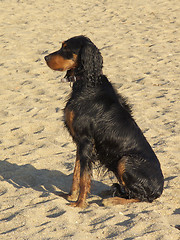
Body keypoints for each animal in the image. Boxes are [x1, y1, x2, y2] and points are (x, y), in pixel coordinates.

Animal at [44, 35, 164, 208]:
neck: (88, 83)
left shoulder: (86, 141)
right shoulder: (80, 143)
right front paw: (70, 196)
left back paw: (113, 200)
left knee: (142, 197)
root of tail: (160, 189)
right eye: (62, 46)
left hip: (124, 161)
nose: (45, 58)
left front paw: (80, 203)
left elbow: (84, 177)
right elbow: (76, 172)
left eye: (66, 48)